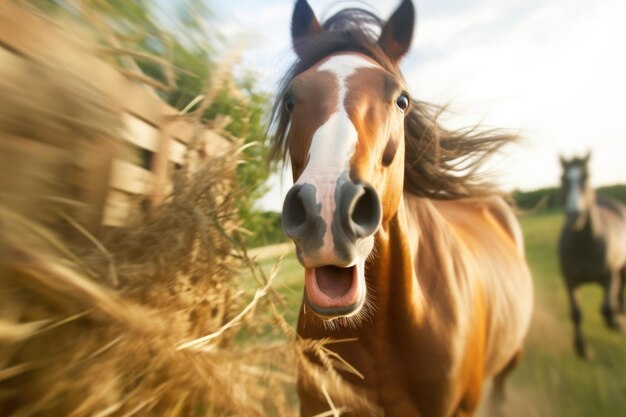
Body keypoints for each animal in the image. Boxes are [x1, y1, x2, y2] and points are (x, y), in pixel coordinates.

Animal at [560, 153, 620, 358]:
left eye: (586, 176)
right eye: (563, 179)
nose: (574, 214)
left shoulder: (611, 274)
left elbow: (607, 308)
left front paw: (616, 322)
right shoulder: (570, 280)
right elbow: (576, 313)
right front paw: (582, 348)